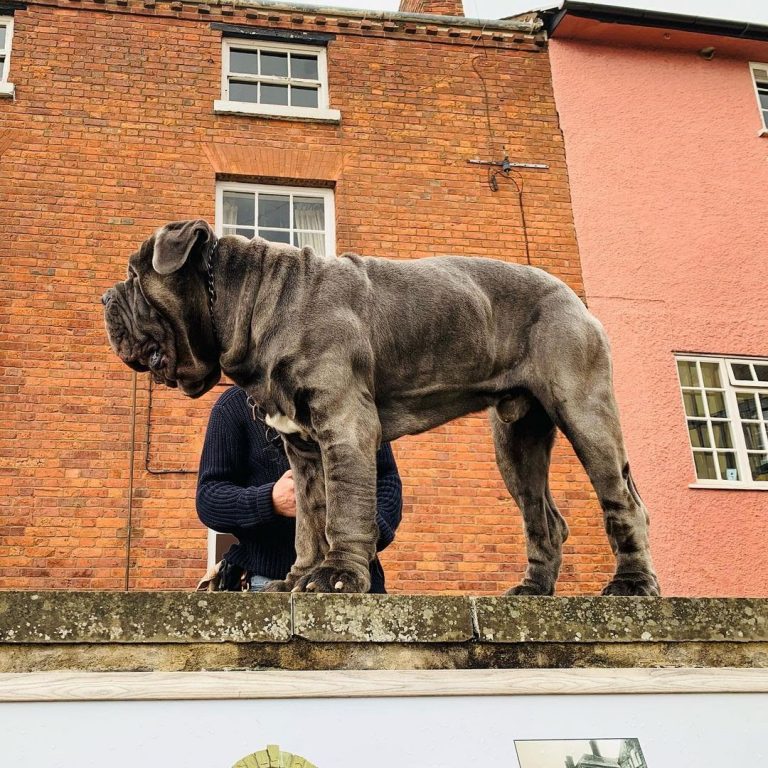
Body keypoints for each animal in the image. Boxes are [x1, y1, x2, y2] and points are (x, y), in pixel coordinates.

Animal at [103, 219, 660, 596]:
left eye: (134, 275)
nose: (106, 297)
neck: (254, 300)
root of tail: (571, 296)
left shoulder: (345, 425)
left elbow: (345, 510)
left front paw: (336, 578)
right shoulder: (304, 451)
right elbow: (310, 521)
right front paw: (297, 578)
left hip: (584, 412)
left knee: (623, 500)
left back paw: (633, 585)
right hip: (516, 441)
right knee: (543, 518)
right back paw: (533, 590)